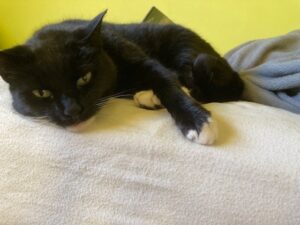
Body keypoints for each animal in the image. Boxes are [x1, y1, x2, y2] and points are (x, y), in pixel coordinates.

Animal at [0, 10, 244, 144]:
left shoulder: (139, 57)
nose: (72, 111)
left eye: (84, 78)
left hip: (185, 46)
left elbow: (165, 79)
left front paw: (197, 121)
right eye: (42, 92)